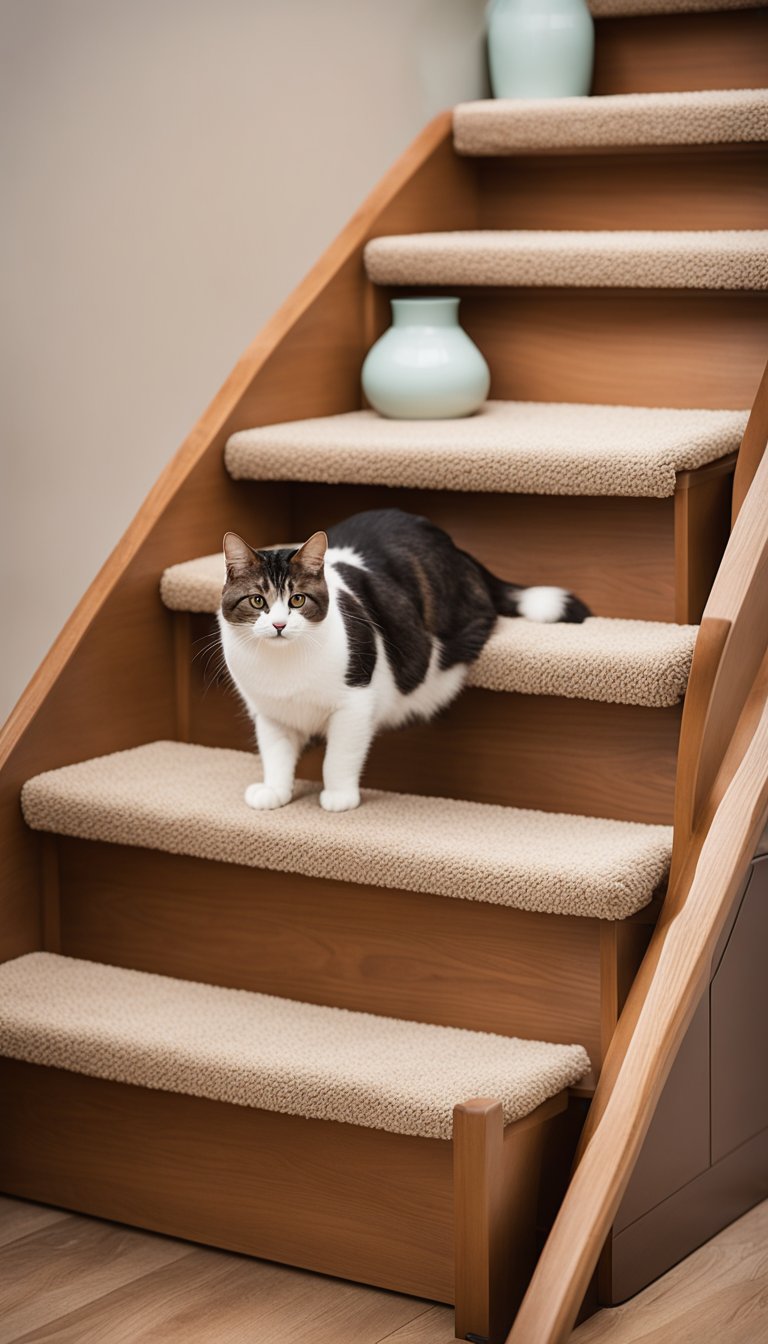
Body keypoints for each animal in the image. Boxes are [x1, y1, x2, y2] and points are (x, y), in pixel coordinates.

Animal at [219, 508, 591, 811]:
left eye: (297, 600)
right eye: (257, 601)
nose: (279, 625)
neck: (283, 666)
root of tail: (453, 545)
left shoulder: (354, 702)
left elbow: (339, 755)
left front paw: (339, 796)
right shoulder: (269, 711)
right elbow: (275, 754)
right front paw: (275, 791)